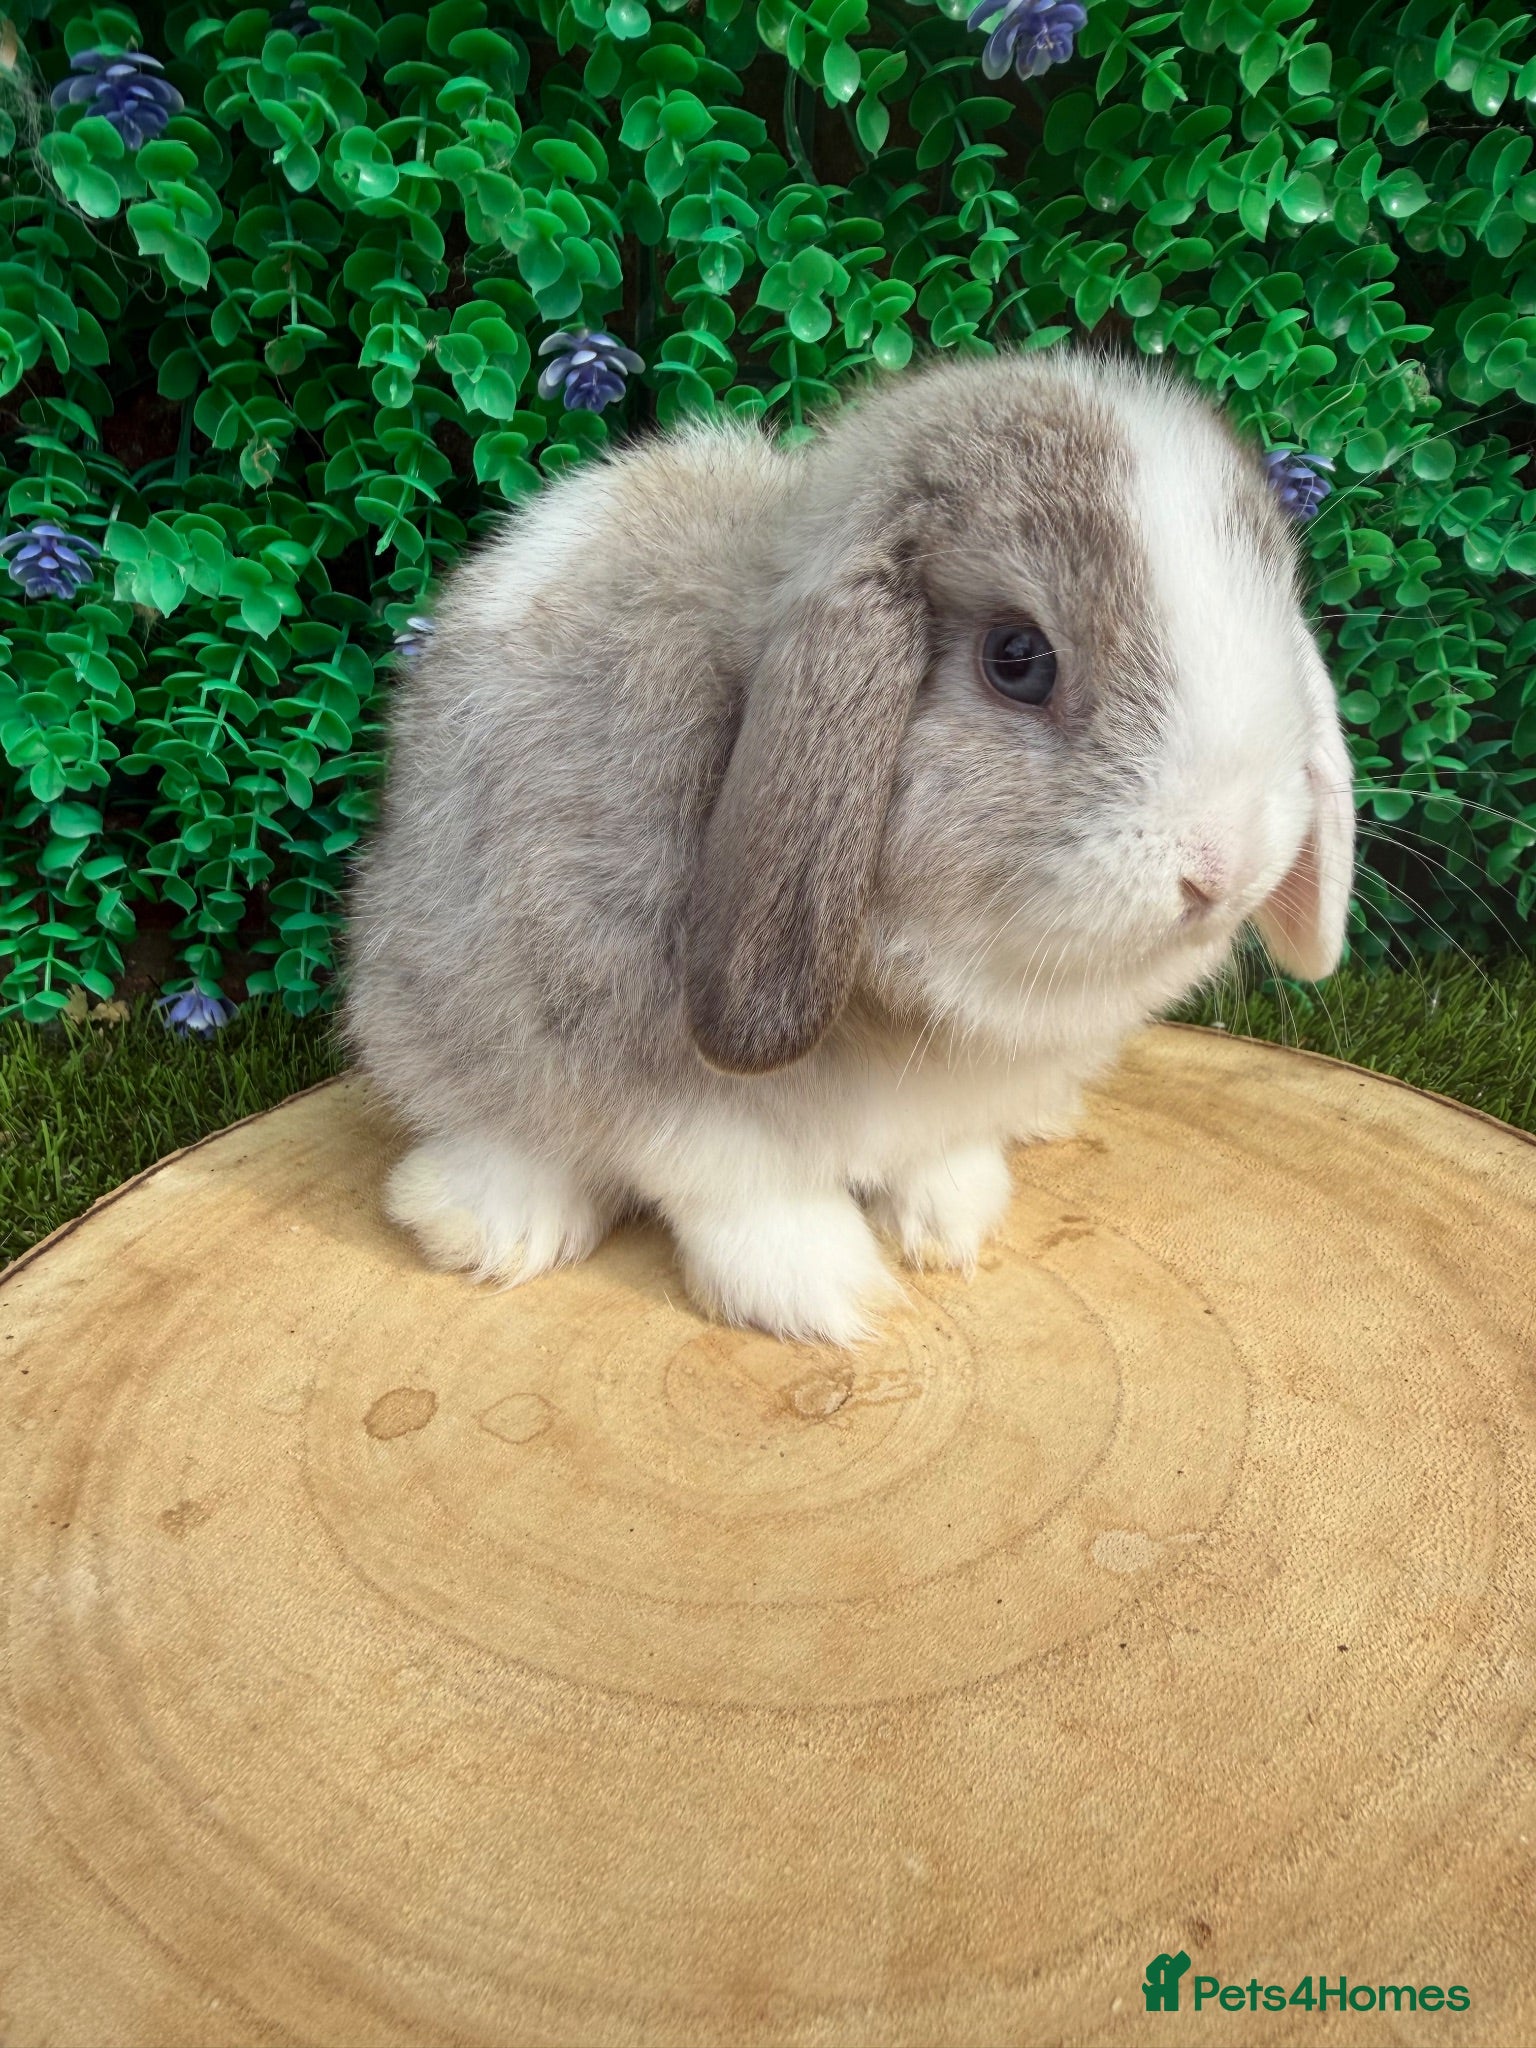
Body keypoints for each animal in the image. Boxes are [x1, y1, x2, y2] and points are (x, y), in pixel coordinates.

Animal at [341, 344, 1355, 1347]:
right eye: (1017, 659)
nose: (1225, 866)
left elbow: (940, 1157)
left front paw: (950, 1224)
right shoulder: (643, 1051)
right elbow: (740, 1185)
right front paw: (826, 1293)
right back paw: (489, 1223)